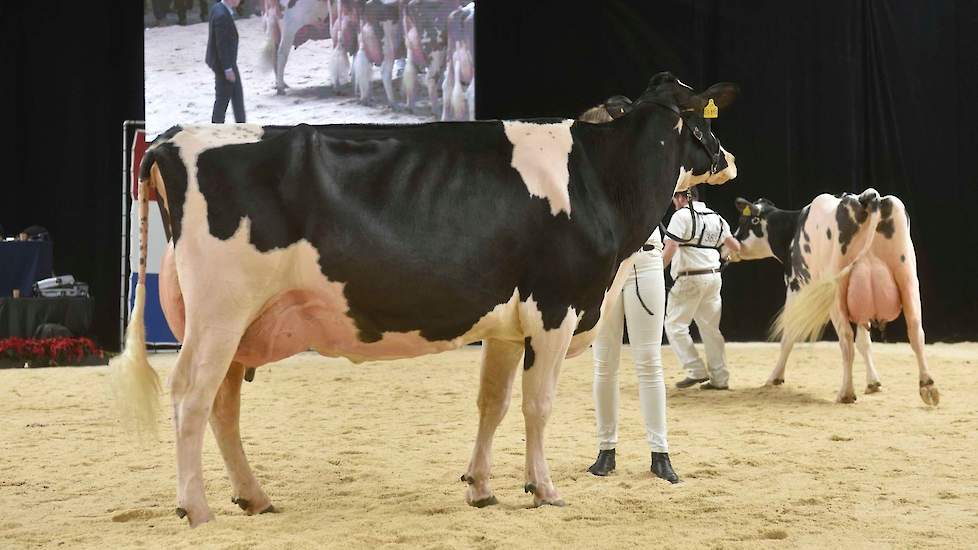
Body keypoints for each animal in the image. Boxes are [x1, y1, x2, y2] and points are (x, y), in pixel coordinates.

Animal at [112, 71, 740, 528]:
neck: (599, 179)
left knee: (222, 406)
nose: (729, 159)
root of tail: (171, 138)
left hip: (236, 323)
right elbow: (538, 405)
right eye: (702, 123)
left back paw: (254, 497)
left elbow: (493, 403)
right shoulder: (554, 307)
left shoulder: (506, 324)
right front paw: (543, 488)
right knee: (191, 396)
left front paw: (481, 488)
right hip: (219, 312)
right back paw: (196, 508)